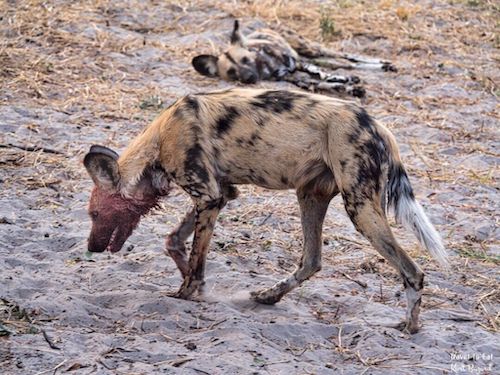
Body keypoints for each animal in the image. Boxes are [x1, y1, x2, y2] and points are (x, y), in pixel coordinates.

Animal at [84, 88, 448, 334]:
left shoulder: (209, 196)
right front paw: (193, 280)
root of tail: (380, 127)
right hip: (310, 196)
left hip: (360, 210)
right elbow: (174, 242)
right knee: (311, 260)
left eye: (95, 215)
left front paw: (186, 292)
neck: (160, 138)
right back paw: (269, 296)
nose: (91, 247)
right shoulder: (221, 194)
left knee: (413, 271)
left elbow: (195, 262)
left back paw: (410, 327)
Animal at [193, 21, 396, 98]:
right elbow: (323, 82)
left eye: (245, 59)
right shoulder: (296, 78)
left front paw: (345, 81)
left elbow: (321, 74)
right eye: (232, 73)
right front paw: (348, 86)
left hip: (311, 49)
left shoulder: (298, 63)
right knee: (338, 63)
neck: (267, 67)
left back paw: (384, 65)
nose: (250, 78)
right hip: (315, 56)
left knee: (346, 57)